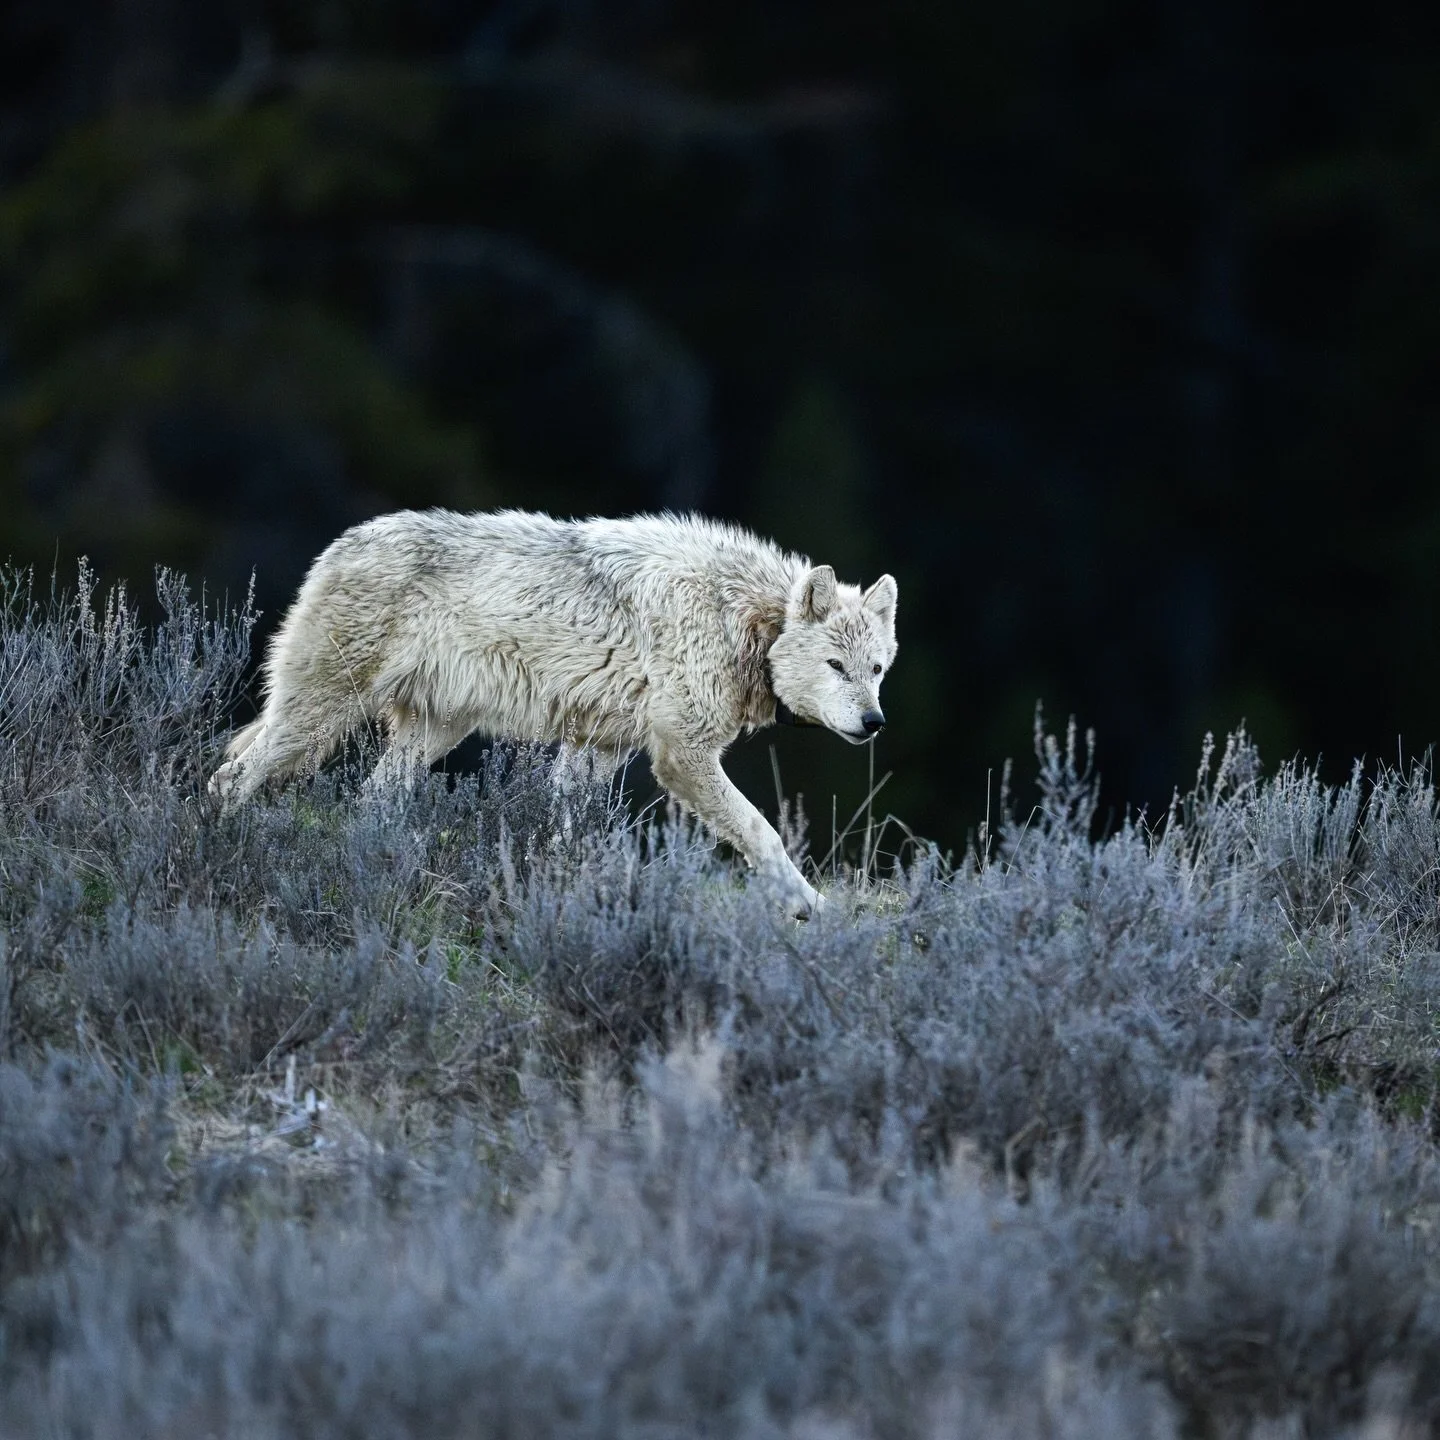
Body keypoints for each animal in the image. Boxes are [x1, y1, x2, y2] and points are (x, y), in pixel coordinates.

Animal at [210, 509, 897, 913]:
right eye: (836, 667)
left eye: (876, 670)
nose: (874, 725)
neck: (749, 620)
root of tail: (343, 542)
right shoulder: (682, 756)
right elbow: (763, 831)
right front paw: (809, 904)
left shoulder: (598, 750)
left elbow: (564, 832)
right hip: (319, 716)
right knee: (231, 776)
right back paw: (221, 845)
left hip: (426, 735)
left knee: (367, 800)